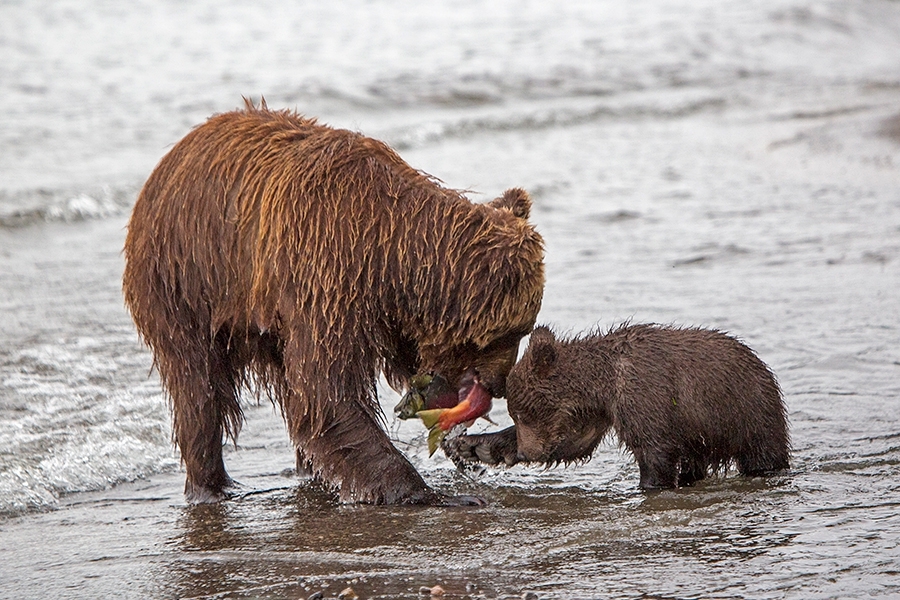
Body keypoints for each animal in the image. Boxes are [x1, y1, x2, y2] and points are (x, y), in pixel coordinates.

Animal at [119, 101, 540, 504]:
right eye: (510, 333)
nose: (498, 384)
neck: (391, 251)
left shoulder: (377, 300)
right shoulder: (325, 274)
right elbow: (327, 395)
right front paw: (431, 492)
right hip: (184, 282)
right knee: (199, 390)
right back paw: (211, 485)